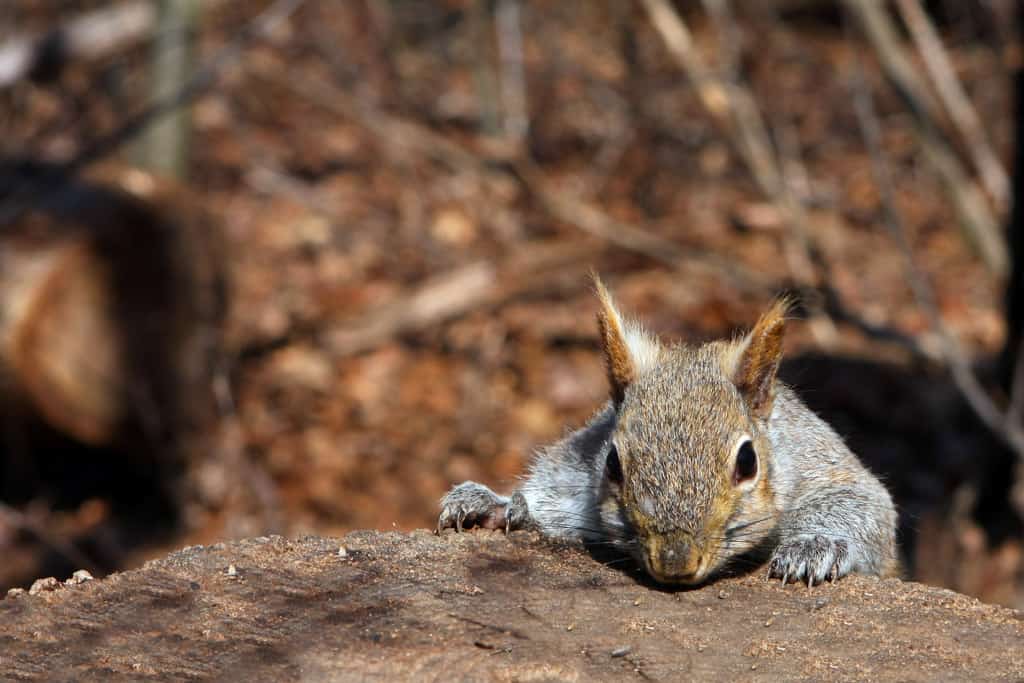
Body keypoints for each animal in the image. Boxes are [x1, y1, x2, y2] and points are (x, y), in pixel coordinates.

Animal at [436, 278, 901, 589]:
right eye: (612, 463)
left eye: (748, 461)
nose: (675, 562)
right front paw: (493, 505)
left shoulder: (819, 462)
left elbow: (864, 507)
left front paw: (814, 547)